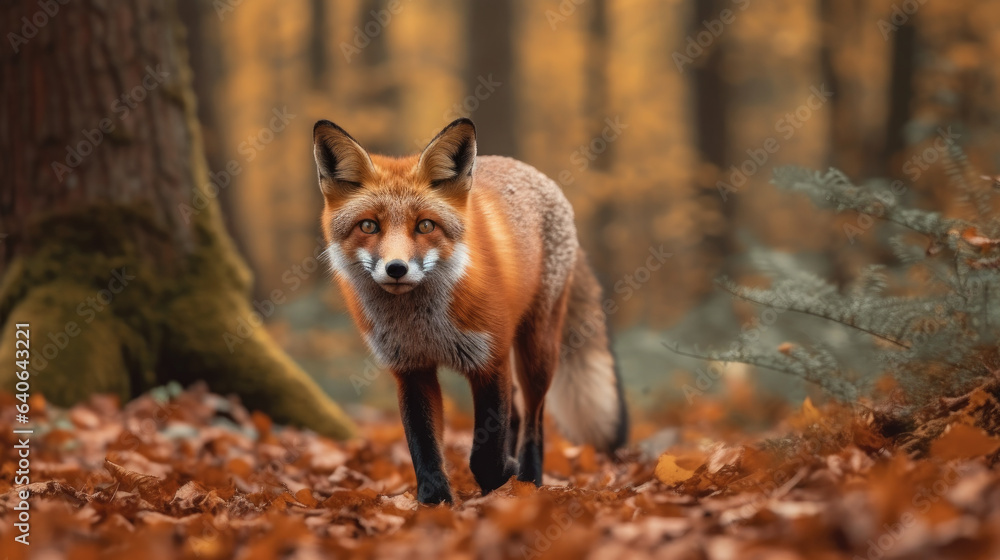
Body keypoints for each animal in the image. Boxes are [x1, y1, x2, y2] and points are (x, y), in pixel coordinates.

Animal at [312, 117, 628, 504]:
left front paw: (500, 477)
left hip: (536, 352)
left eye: (425, 225)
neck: (424, 324)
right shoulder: (412, 369)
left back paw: (530, 480)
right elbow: (424, 446)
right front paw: (435, 501)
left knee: (535, 420)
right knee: (517, 416)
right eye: (369, 226)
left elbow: (485, 454)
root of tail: (535, 173)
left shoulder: (489, 360)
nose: (396, 268)